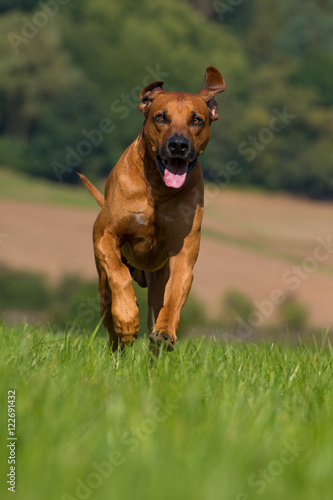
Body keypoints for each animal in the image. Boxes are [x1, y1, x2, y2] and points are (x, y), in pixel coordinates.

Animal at [80, 65, 226, 352]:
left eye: (196, 120)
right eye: (161, 117)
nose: (178, 145)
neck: (158, 188)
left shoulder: (183, 253)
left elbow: (176, 293)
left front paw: (165, 331)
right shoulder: (104, 235)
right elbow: (118, 272)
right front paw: (127, 317)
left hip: (159, 279)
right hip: (102, 291)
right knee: (112, 330)